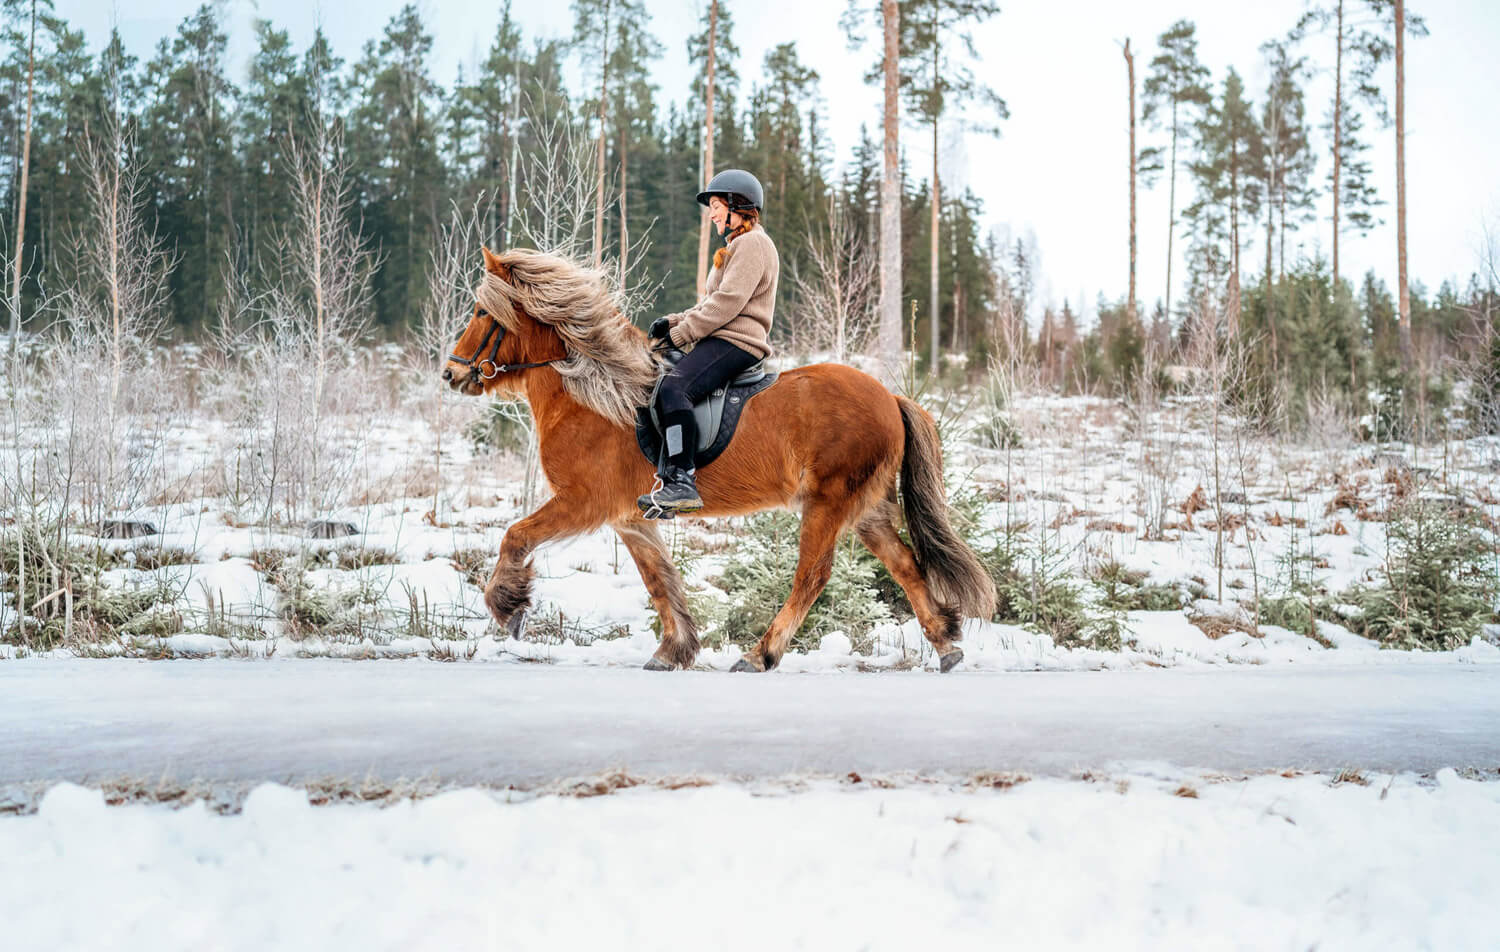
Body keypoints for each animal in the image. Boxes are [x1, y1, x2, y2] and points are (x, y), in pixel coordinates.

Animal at [438, 248, 990, 674]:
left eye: (483, 313)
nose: (450, 374)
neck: (593, 396)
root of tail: (891, 398)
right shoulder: (632, 518)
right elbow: (660, 581)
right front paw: (673, 649)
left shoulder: (583, 502)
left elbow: (516, 535)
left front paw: (507, 607)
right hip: (866, 508)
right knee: (905, 564)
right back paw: (946, 645)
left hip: (828, 502)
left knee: (812, 576)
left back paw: (760, 654)